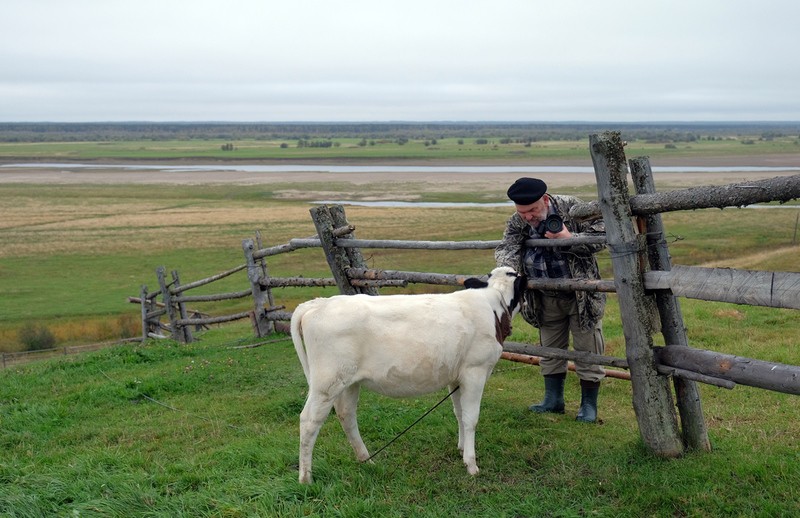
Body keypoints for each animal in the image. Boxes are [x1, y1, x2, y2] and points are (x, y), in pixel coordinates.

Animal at [290, 266, 528, 486]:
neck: (492, 306)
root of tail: (319, 303)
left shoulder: (456, 377)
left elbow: (459, 413)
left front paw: (461, 449)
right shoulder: (475, 371)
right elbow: (471, 418)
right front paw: (471, 464)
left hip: (348, 382)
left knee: (346, 415)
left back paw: (366, 459)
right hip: (326, 383)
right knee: (309, 421)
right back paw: (305, 478)